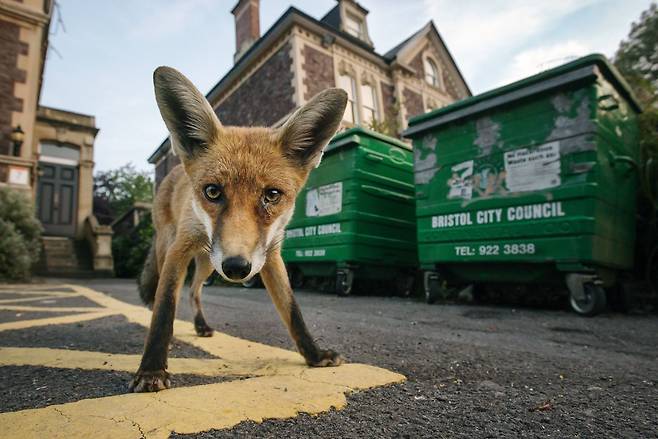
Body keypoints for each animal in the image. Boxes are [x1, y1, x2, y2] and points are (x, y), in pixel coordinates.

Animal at [132, 67, 348, 394]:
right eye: (212, 192)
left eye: (272, 195)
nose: (236, 267)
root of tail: (173, 171)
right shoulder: (178, 250)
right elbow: (165, 307)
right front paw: (152, 369)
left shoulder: (270, 255)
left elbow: (292, 310)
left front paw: (314, 355)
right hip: (170, 249)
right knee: (165, 293)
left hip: (208, 264)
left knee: (194, 291)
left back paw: (201, 326)